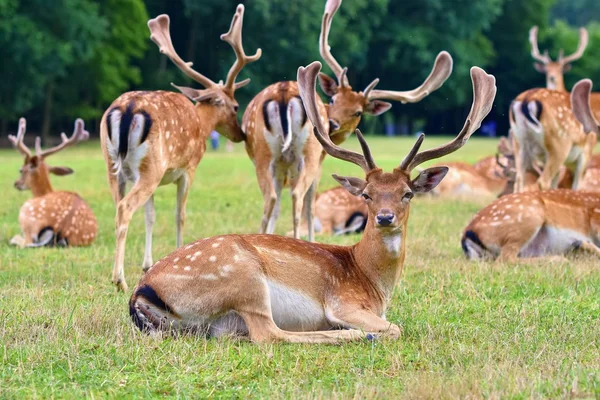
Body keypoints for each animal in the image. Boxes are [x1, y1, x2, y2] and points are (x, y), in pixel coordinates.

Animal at [8, 116, 96, 247]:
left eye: (21, 170)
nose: (16, 183)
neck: (44, 192)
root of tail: (60, 230)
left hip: (26, 211)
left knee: (26, 243)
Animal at [101, 4, 262, 292]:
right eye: (234, 106)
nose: (241, 134)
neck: (201, 123)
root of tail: (128, 108)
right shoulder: (188, 169)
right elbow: (180, 214)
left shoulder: (155, 177)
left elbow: (151, 216)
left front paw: (148, 264)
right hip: (150, 167)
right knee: (125, 208)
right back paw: (119, 280)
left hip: (117, 166)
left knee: (118, 206)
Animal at [127, 61, 496, 346]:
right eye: (367, 194)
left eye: (407, 193)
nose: (385, 217)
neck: (374, 284)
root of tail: (142, 291)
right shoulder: (344, 302)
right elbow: (395, 327)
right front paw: (365, 331)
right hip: (243, 277)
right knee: (269, 334)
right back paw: (354, 336)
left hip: (210, 320)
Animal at [241, 0, 452, 241]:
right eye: (334, 98)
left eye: (358, 112)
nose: (331, 124)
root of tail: (283, 94)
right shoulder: (316, 162)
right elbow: (306, 206)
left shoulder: (287, 168)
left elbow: (281, 209)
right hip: (302, 155)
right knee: (294, 196)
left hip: (271, 155)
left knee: (274, 198)